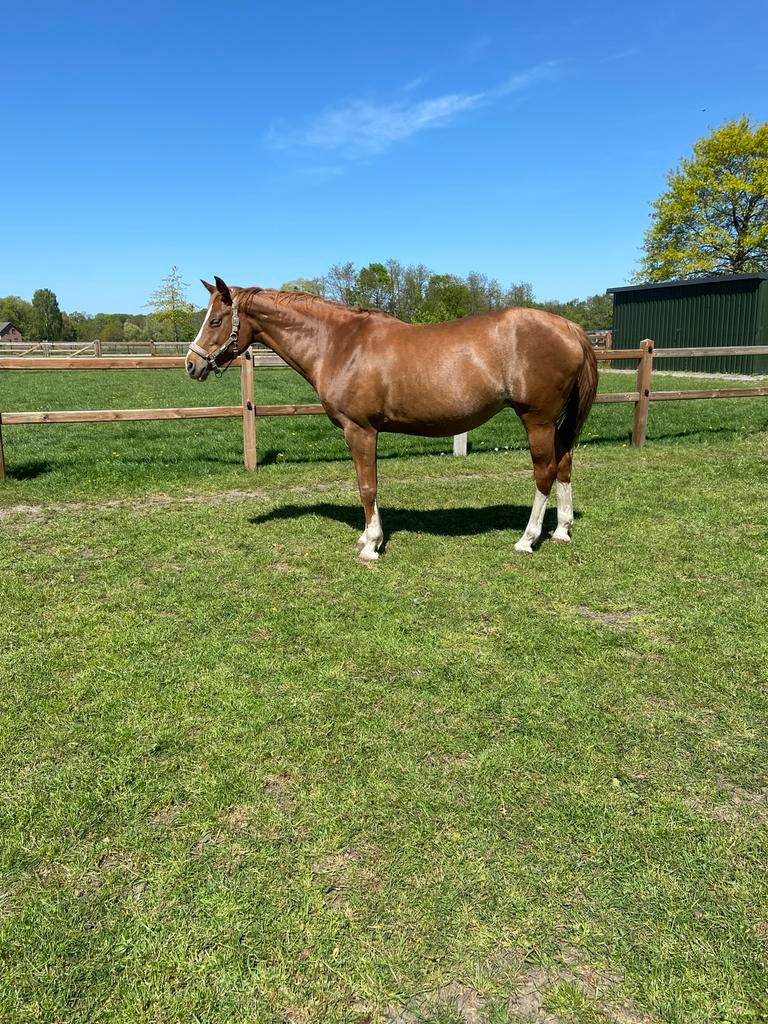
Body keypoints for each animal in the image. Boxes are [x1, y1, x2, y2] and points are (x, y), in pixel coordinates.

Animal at [186, 277, 598, 561]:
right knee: (564, 464)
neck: (339, 343)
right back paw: (561, 531)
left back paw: (527, 539)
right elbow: (370, 485)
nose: (192, 364)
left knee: (545, 472)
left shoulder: (360, 431)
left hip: (537, 420)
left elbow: (366, 486)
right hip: (552, 424)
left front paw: (370, 545)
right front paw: (371, 537)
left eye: (216, 321)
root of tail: (569, 327)